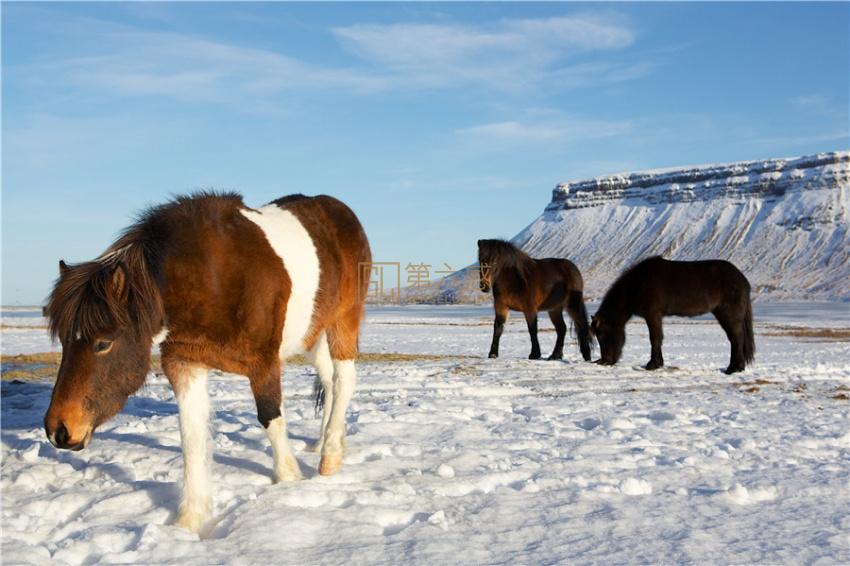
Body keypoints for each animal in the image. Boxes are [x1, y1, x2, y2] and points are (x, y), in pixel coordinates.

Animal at [42, 193, 368, 536]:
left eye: (103, 343)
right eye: (63, 340)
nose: (58, 430)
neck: (210, 277)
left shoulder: (263, 362)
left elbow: (271, 419)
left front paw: (289, 481)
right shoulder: (185, 364)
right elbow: (192, 439)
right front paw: (190, 523)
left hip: (344, 319)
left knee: (344, 379)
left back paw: (330, 457)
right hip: (312, 332)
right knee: (330, 381)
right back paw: (324, 442)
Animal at [588, 256, 756, 372]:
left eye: (602, 334)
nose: (605, 361)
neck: (637, 284)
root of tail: (742, 280)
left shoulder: (653, 315)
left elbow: (655, 338)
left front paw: (652, 364)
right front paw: (657, 363)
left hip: (728, 314)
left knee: (736, 338)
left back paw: (734, 368)